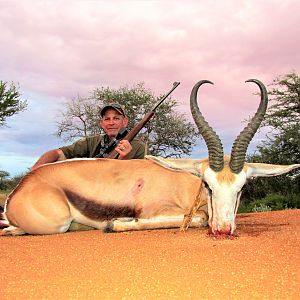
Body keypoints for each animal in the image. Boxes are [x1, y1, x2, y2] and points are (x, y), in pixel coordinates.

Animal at [1, 80, 298, 237]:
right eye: (208, 184)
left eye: (242, 187)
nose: (223, 230)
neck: (183, 182)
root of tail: (23, 185)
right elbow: (197, 218)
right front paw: (115, 223)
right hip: (57, 222)